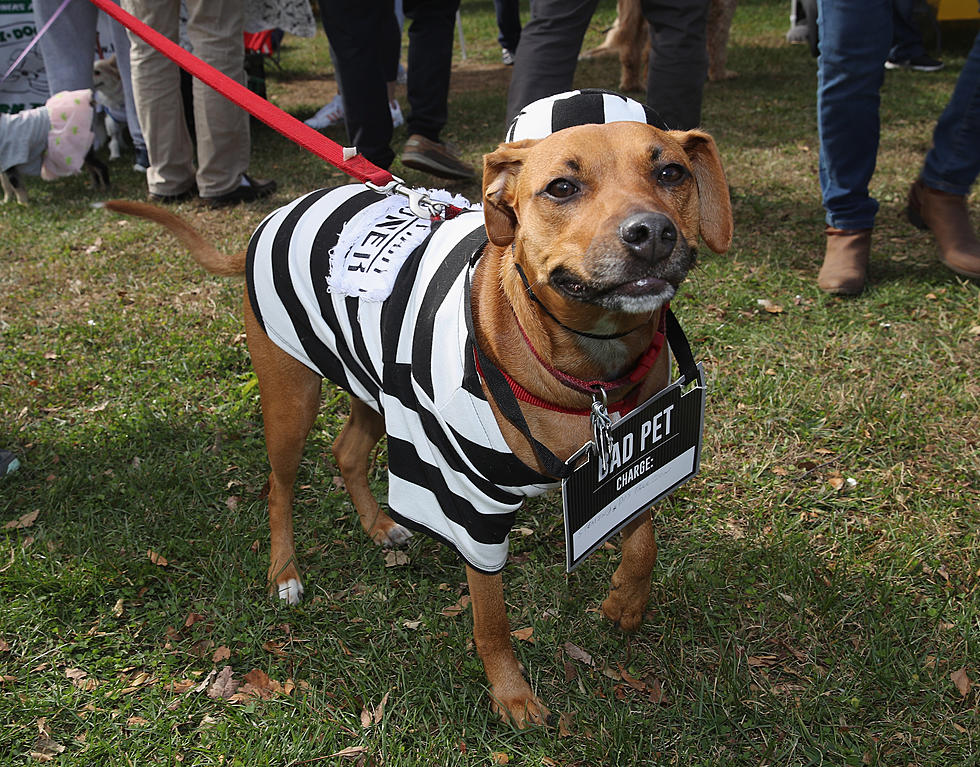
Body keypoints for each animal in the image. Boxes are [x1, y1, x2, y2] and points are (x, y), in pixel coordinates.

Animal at [109, 118, 736, 728]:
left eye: (671, 172)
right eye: (561, 187)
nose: (651, 232)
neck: (587, 370)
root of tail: (275, 216)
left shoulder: (639, 453)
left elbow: (643, 535)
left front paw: (626, 600)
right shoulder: (472, 506)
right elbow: (491, 620)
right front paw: (511, 694)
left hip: (374, 381)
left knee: (346, 452)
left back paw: (378, 526)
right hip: (291, 399)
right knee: (279, 488)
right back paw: (284, 572)